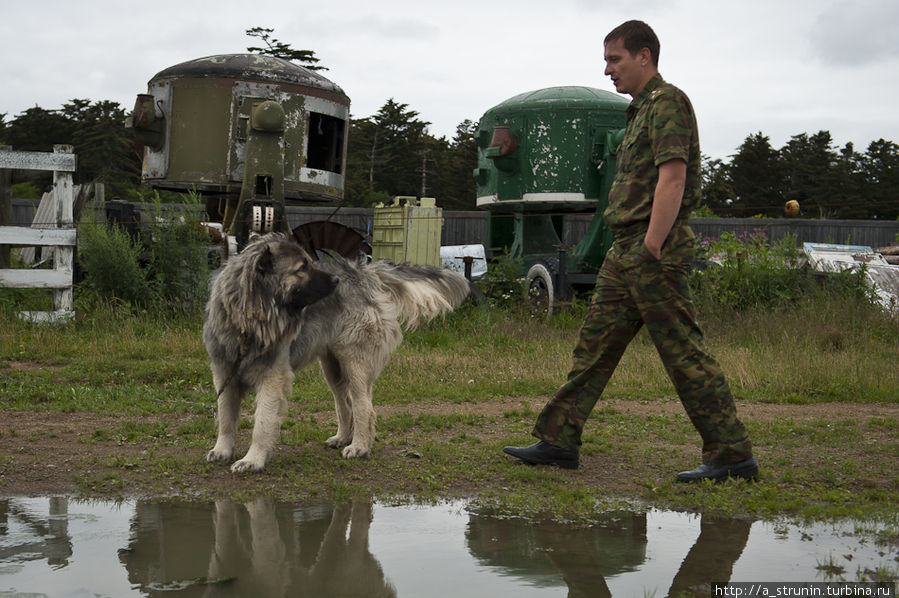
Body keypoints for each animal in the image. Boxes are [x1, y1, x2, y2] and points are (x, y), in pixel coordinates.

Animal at [205, 234, 472, 474]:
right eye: (302, 267)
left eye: (310, 262)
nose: (335, 280)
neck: (248, 320)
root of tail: (364, 271)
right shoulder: (224, 374)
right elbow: (225, 417)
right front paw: (222, 450)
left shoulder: (272, 377)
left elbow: (262, 423)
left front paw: (252, 460)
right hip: (332, 367)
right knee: (344, 403)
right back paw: (343, 437)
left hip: (354, 361)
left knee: (364, 407)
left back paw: (360, 447)